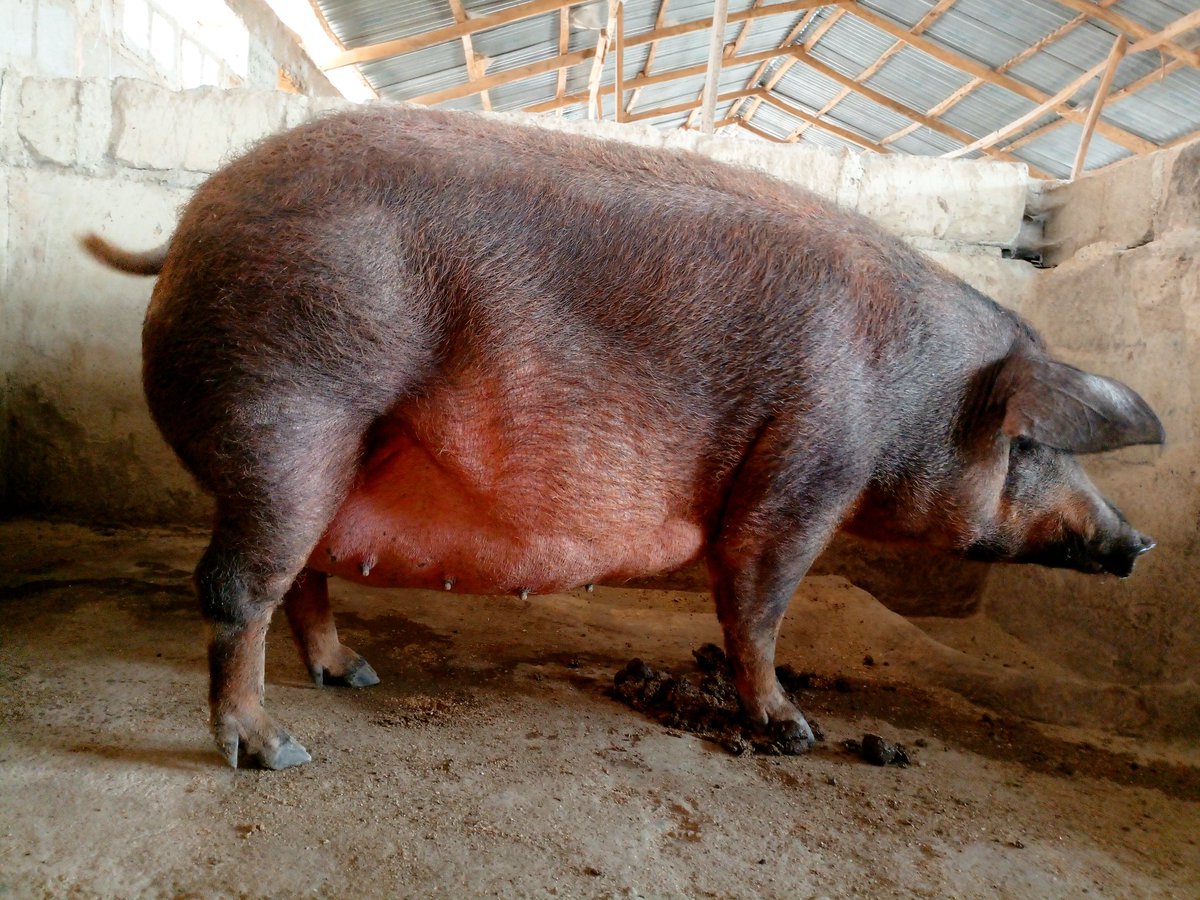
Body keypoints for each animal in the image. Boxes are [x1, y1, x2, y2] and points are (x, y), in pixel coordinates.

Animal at [82, 106, 1164, 770]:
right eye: (1036, 446)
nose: (1140, 539)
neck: (915, 399)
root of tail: (185, 225)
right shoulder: (806, 470)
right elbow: (757, 603)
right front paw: (796, 732)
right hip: (289, 404)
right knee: (237, 584)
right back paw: (275, 752)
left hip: (324, 444)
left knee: (299, 574)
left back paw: (352, 676)